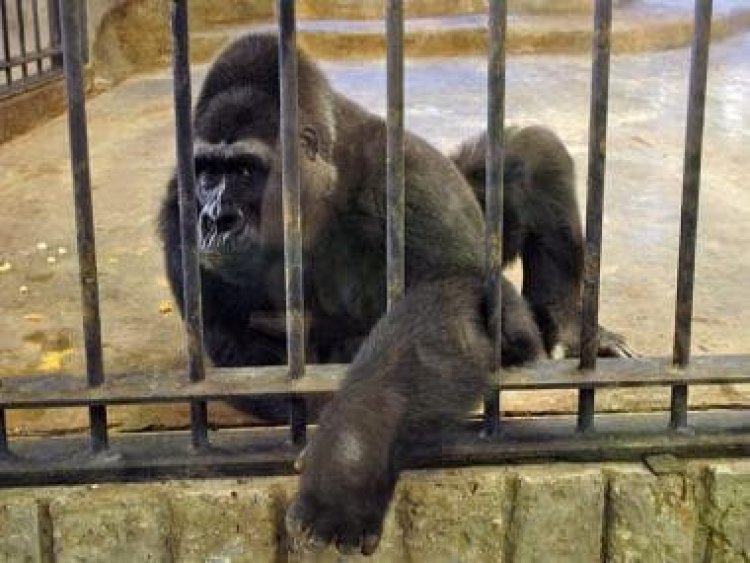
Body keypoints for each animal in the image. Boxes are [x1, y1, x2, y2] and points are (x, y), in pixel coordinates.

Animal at [158, 33, 629, 555]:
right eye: (207, 172)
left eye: (245, 170)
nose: (216, 219)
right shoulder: (178, 209)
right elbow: (242, 356)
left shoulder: (405, 174)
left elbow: (458, 299)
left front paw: (350, 455)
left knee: (528, 154)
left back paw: (569, 327)